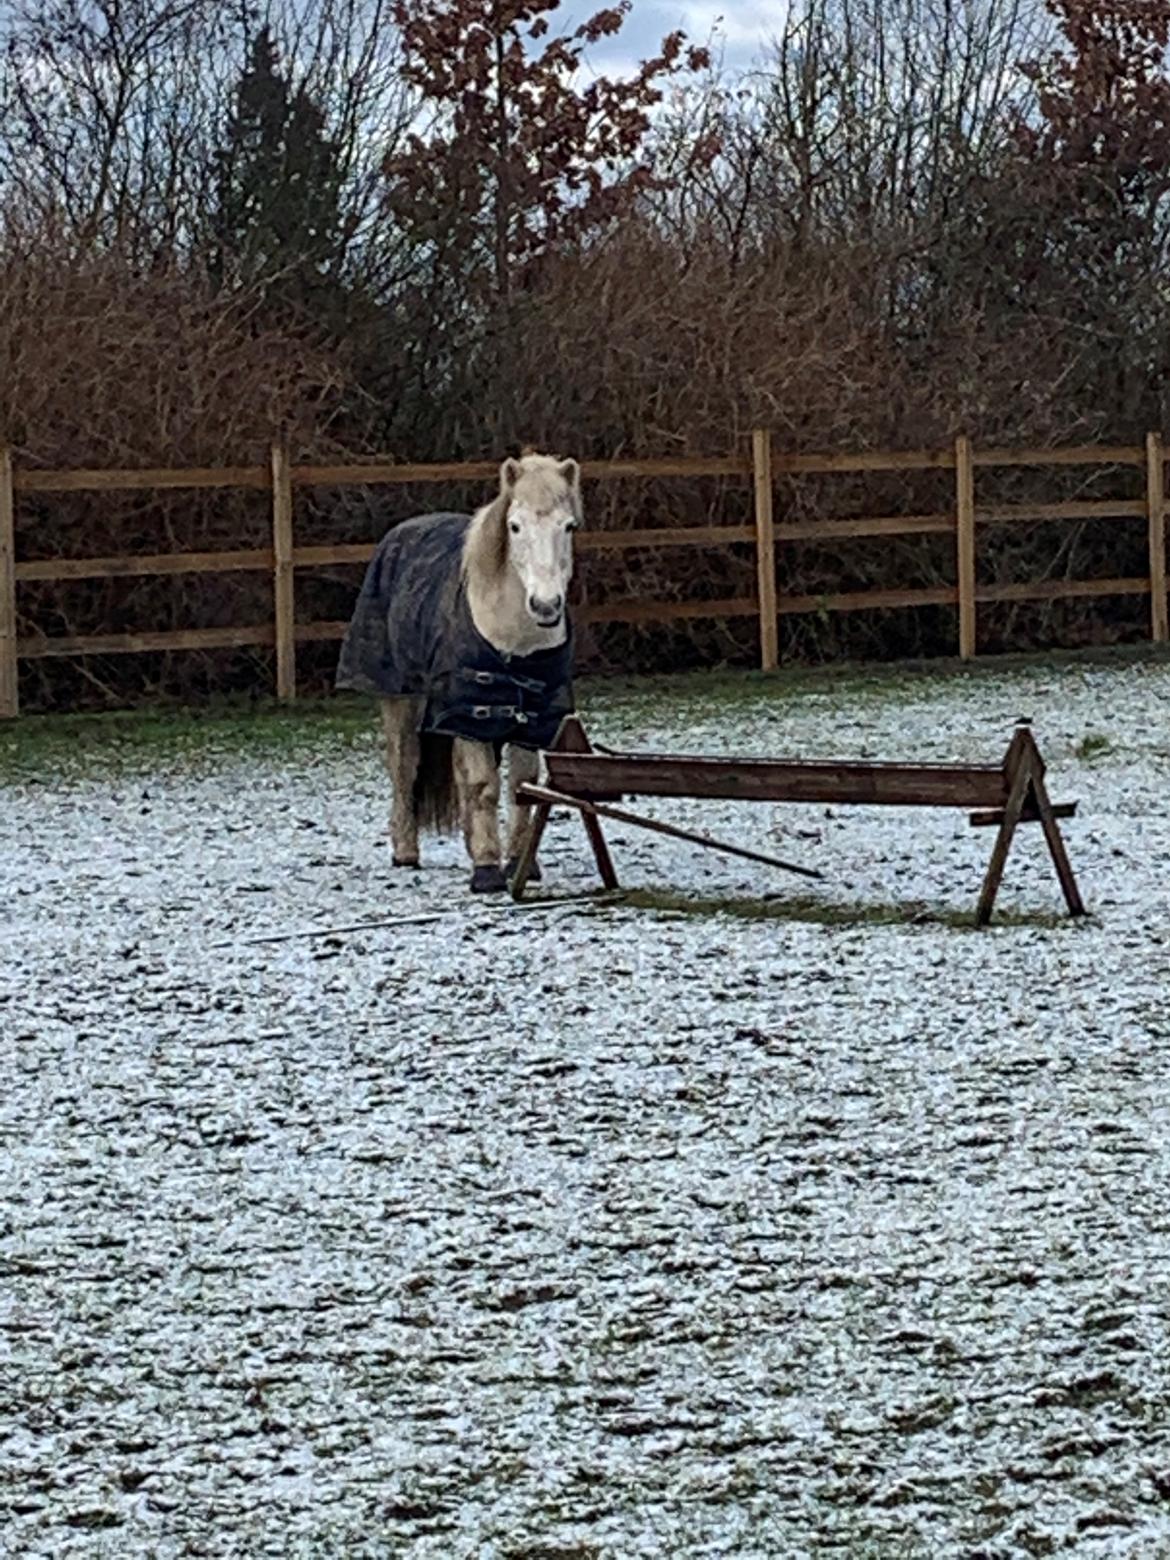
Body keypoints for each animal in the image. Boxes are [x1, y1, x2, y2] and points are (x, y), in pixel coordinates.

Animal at [333, 452, 583, 892]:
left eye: (568, 526)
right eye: (515, 526)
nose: (545, 605)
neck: (513, 641)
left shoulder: (529, 717)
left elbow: (520, 786)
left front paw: (518, 863)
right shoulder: (470, 713)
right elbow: (482, 786)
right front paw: (486, 872)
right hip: (403, 701)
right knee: (404, 768)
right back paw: (405, 852)